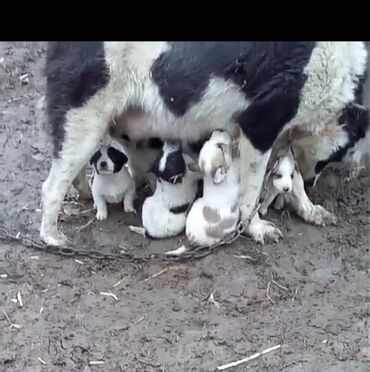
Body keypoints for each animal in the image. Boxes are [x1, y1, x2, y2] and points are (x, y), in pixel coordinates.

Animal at [39, 42, 368, 246]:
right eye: (342, 151)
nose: (316, 181)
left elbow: (293, 178)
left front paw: (320, 216)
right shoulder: (260, 122)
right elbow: (251, 189)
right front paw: (265, 233)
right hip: (83, 110)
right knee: (52, 183)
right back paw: (56, 239)